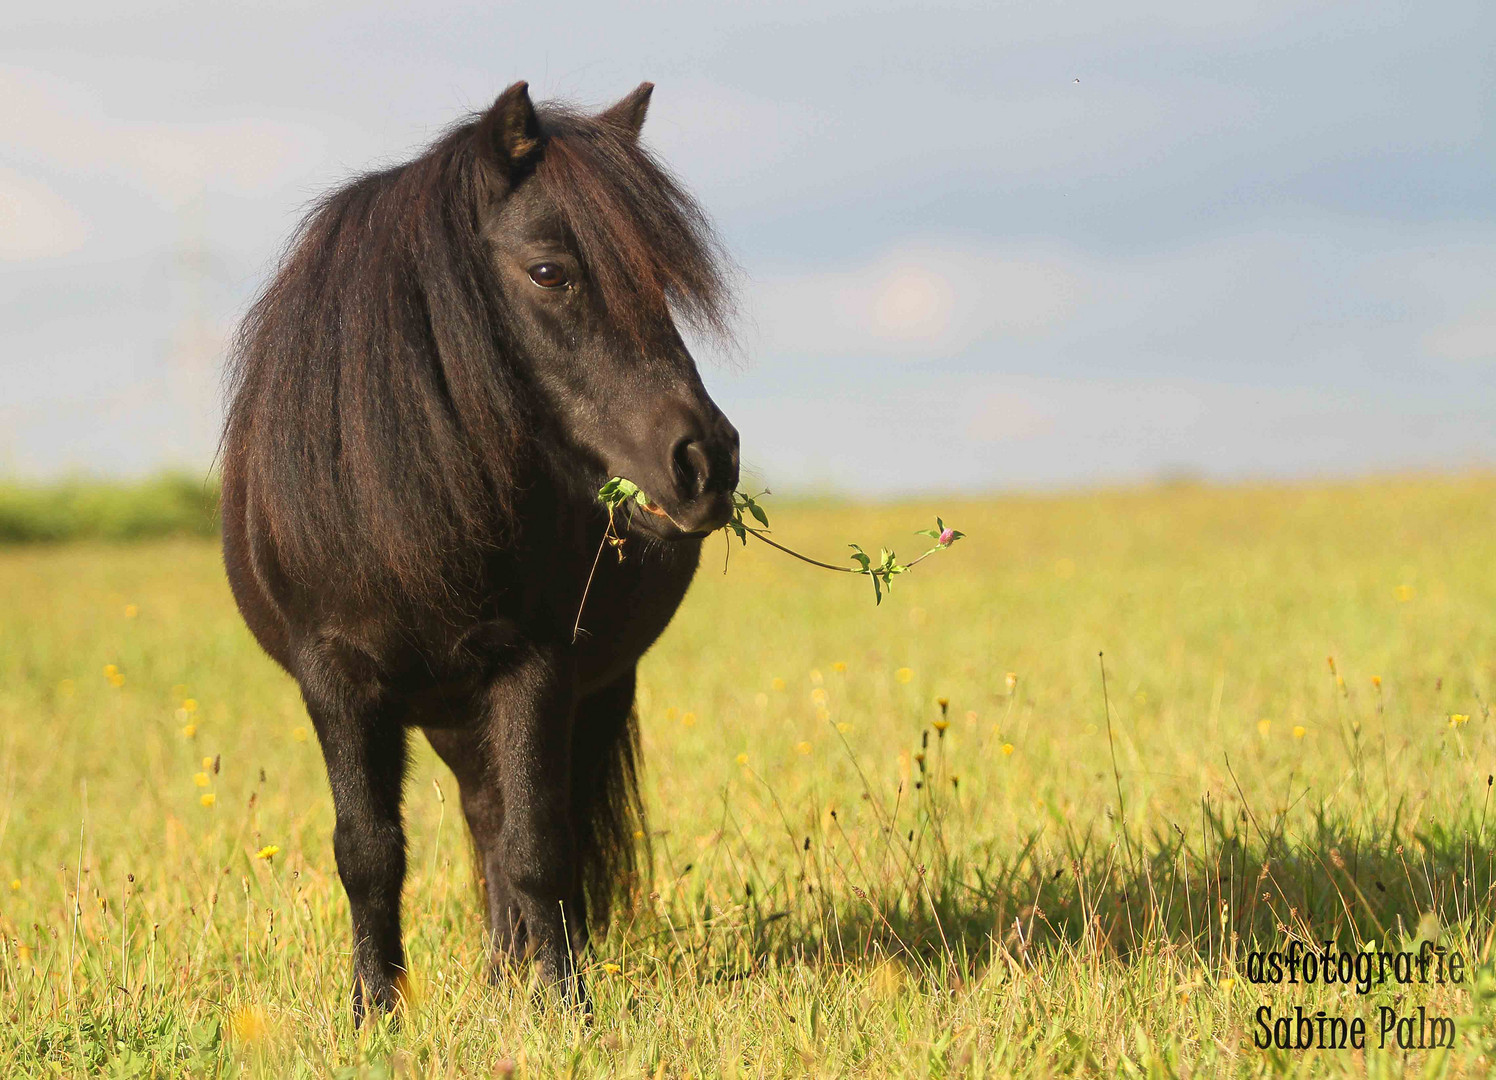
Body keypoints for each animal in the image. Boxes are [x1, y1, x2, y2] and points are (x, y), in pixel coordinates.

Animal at [220, 81, 740, 1021]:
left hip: (580, 692)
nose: (706, 461)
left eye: (660, 281)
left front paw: (565, 1007)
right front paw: (374, 1010)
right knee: (480, 812)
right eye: (549, 271)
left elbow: (536, 842)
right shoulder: (335, 678)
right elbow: (369, 850)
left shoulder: (537, 666)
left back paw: (518, 972)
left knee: (515, 823)